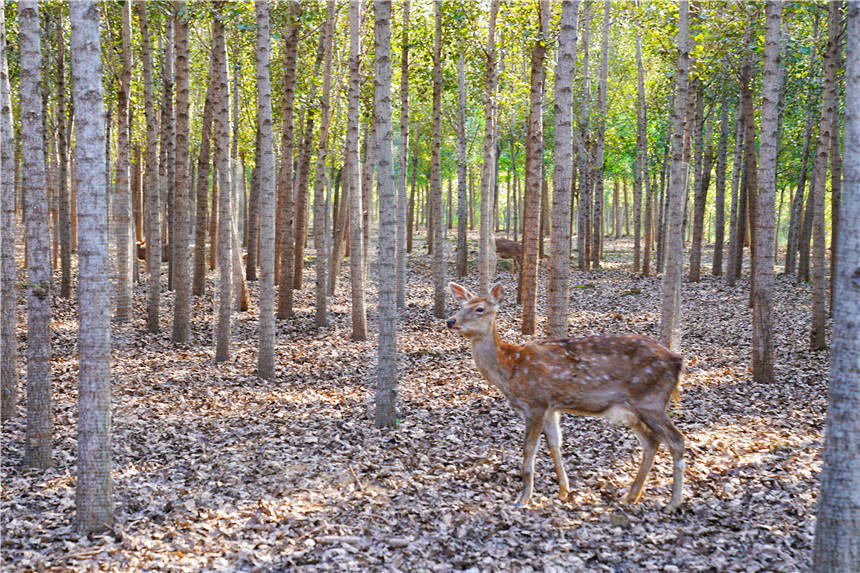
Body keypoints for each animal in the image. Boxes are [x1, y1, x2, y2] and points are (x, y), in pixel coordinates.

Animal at [444, 282, 684, 510]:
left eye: (479, 308)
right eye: (460, 306)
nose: (450, 321)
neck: (510, 370)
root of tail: (677, 361)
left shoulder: (536, 402)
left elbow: (529, 450)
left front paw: (523, 499)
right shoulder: (551, 407)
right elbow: (554, 444)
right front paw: (563, 491)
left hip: (651, 401)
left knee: (676, 440)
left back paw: (673, 502)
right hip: (633, 410)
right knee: (651, 442)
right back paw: (631, 495)